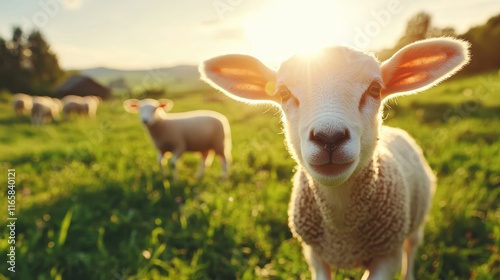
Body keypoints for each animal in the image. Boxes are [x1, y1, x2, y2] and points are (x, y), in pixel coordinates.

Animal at [198, 37, 468, 280]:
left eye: (375, 89)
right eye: (284, 93)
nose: (329, 137)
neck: (341, 231)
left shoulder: (388, 255)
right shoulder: (314, 255)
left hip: (416, 222)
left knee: (411, 250)